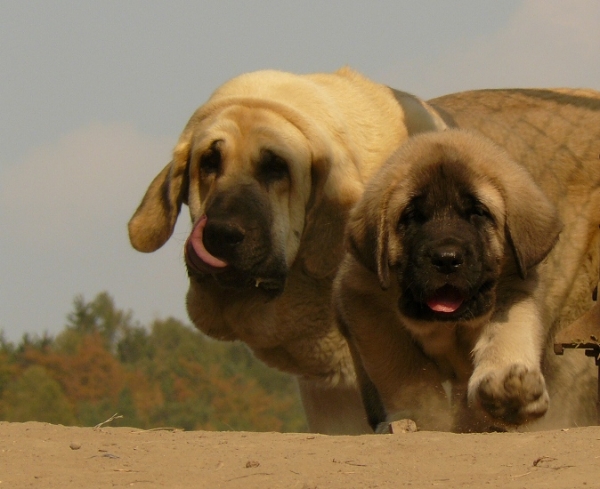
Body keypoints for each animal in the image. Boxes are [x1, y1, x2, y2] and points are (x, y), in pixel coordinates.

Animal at [336, 127, 600, 432]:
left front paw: (508, 393)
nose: (446, 259)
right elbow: (405, 374)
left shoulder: (514, 291)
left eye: (478, 213)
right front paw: (423, 417)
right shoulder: (366, 302)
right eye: (411, 216)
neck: (449, 327)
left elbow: (507, 334)